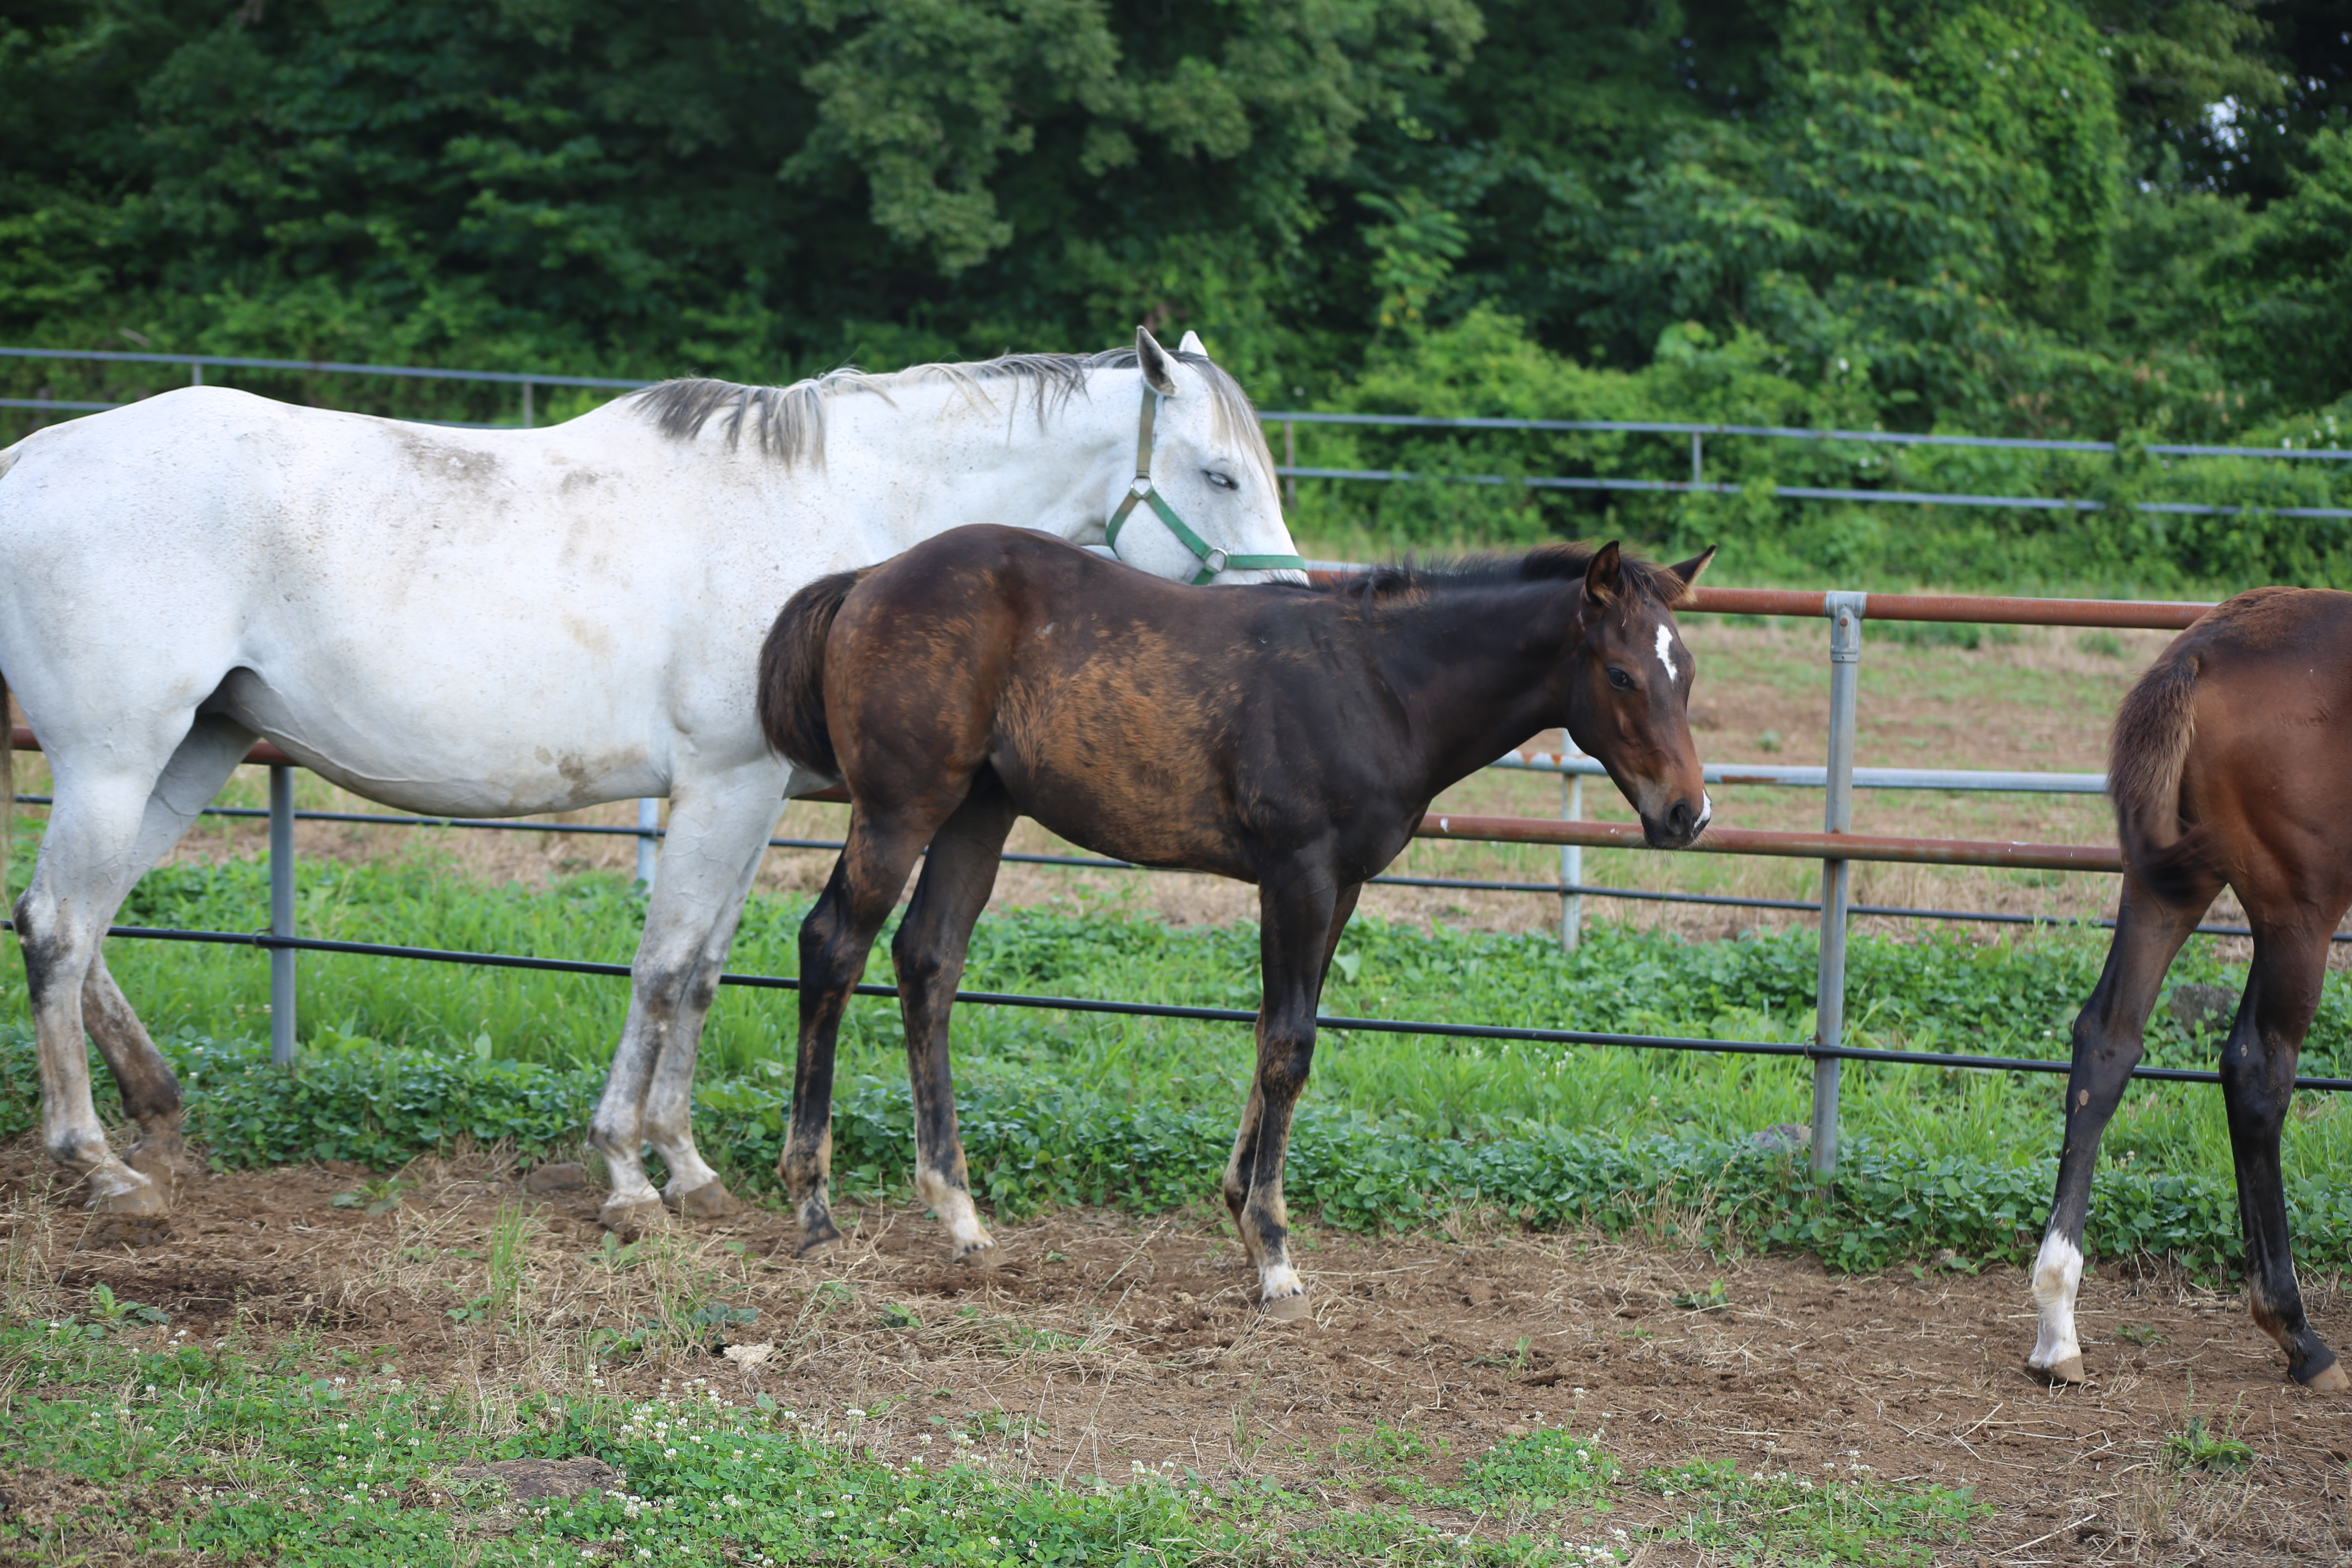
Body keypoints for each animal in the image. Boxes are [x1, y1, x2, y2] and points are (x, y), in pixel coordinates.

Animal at [0, 331, 1307, 1241]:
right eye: (1218, 475)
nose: (1289, 611)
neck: (837, 510)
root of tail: (30, 458)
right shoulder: (722, 786)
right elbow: (666, 967)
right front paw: (627, 1173)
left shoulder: (758, 794)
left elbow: (707, 969)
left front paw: (686, 1164)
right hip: (119, 757)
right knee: (59, 925)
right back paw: (97, 1163)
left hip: (194, 750)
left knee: (78, 923)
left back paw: (155, 1112)